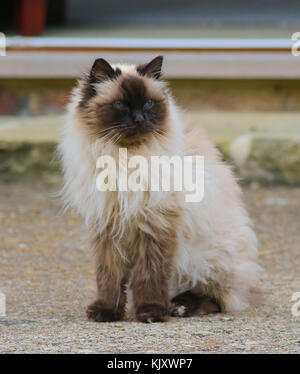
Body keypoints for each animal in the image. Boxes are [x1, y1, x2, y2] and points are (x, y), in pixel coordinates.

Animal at [58, 55, 260, 322]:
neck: (125, 158)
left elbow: (150, 274)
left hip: (209, 257)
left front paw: (150, 312)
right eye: (120, 104)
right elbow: (109, 276)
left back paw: (178, 307)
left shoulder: (154, 222)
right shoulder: (108, 225)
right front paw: (107, 311)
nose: (139, 119)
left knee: (217, 297)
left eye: (148, 104)